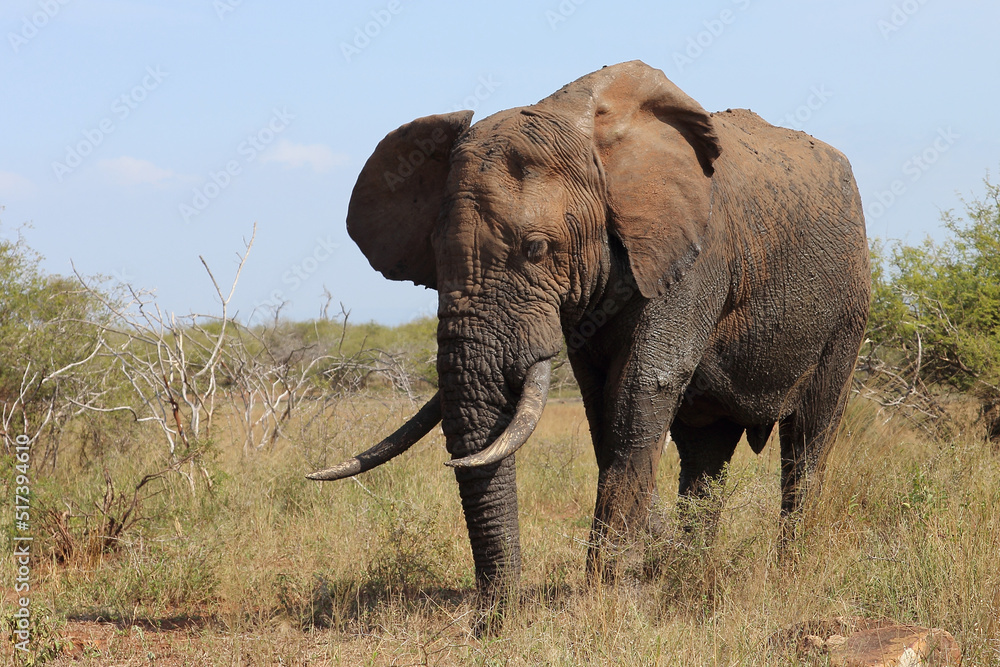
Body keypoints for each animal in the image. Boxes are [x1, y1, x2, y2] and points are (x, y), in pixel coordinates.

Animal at [309, 61, 870, 625]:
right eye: (434, 253)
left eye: (537, 249)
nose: (492, 623)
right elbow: (603, 405)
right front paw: (640, 578)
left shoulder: (694, 257)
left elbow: (642, 388)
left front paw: (613, 597)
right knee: (706, 451)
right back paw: (692, 575)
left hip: (848, 309)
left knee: (808, 439)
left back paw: (786, 574)